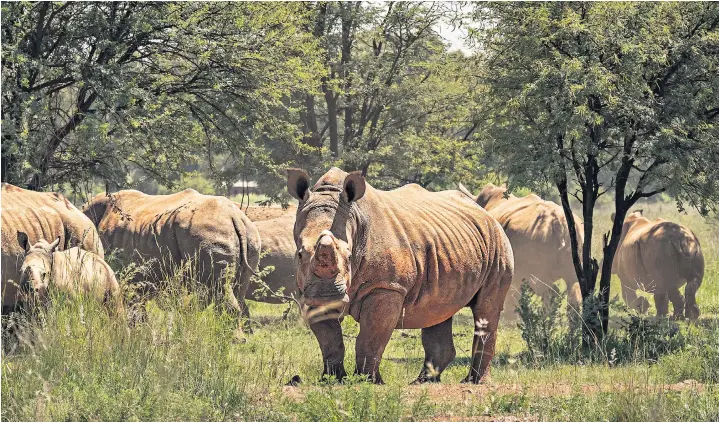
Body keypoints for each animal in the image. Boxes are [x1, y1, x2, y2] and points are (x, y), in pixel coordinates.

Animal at [83, 189, 260, 330]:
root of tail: (235, 217)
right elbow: (138, 310)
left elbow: (131, 307)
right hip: (249, 237)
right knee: (236, 289)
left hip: (209, 233)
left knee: (219, 287)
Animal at [284, 166, 516, 384]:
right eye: (300, 254)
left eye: (349, 256)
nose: (328, 296)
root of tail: (486, 212)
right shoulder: (307, 289)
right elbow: (330, 340)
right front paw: (333, 379)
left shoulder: (386, 286)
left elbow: (370, 337)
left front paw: (366, 381)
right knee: (438, 308)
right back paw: (423, 382)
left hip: (498, 242)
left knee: (486, 308)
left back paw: (475, 382)